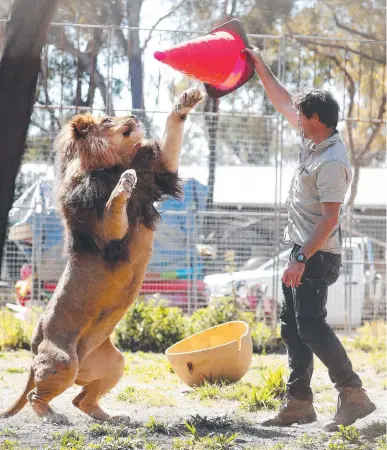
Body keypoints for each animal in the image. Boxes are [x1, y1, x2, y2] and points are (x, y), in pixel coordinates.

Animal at [0, 86, 206, 424]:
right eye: (109, 120)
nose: (133, 115)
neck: (112, 163)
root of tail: (33, 347)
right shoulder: (102, 227)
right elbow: (113, 207)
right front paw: (122, 184)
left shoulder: (156, 172)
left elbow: (170, 139)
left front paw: (185, 101)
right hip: (62, 360)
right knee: (35, 396)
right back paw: (51, 416)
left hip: (110, 363)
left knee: (81, 398)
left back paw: (108, 417)